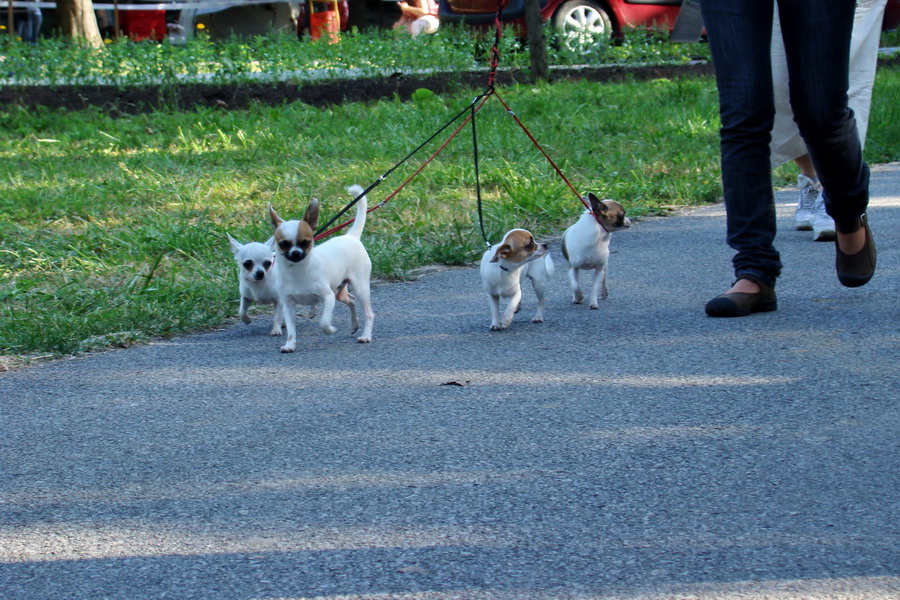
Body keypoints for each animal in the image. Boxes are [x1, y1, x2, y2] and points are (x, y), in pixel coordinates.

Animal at [268, 184, 372, 352]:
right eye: (283, 243)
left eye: (306, 242)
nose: (296, 253)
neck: (298, 271)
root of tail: (350, 236)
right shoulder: (288, 305)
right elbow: (291, 329)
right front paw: (289, 345)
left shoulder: (328, 298)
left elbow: (323, 322)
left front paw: (330, 330)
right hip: (340, 292)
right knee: (351, 300)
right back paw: (354, 325)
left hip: (359, 288)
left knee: (369, 313)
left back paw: (366, 335)